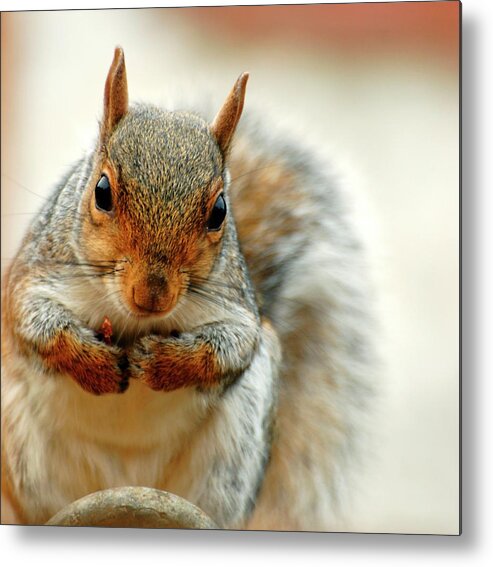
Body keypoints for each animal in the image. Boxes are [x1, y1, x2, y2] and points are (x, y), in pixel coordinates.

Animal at [0, 48, 376, 532]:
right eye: (101, 191)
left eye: (220, 211)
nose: (151, 294)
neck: (131, 320)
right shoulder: (34, 274)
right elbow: (35, 323)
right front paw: (94, 364)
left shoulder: (236, 306)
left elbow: (230, 346)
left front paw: (163, 362)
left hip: (230, 462)